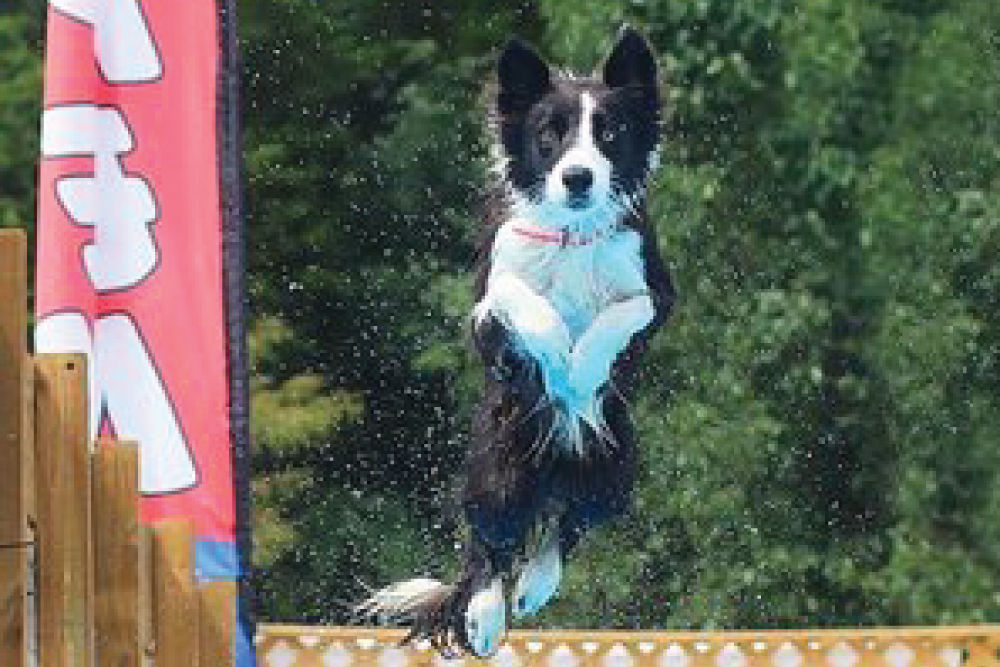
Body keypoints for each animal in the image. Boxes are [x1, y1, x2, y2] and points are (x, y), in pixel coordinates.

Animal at [356, 27, 676, 656]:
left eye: (610, 132)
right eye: (549, 133)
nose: (578, 178)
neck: (573, 234)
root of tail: (550, 473)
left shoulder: (656, 290)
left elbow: (621, 315)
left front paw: (582, 373)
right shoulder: (486, 308)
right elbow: (521, 299)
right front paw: (558, 362)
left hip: (611, 469)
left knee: (568, 527)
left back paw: (534, 586)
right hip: (499, 464)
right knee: (488, 545)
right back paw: (485, 616)